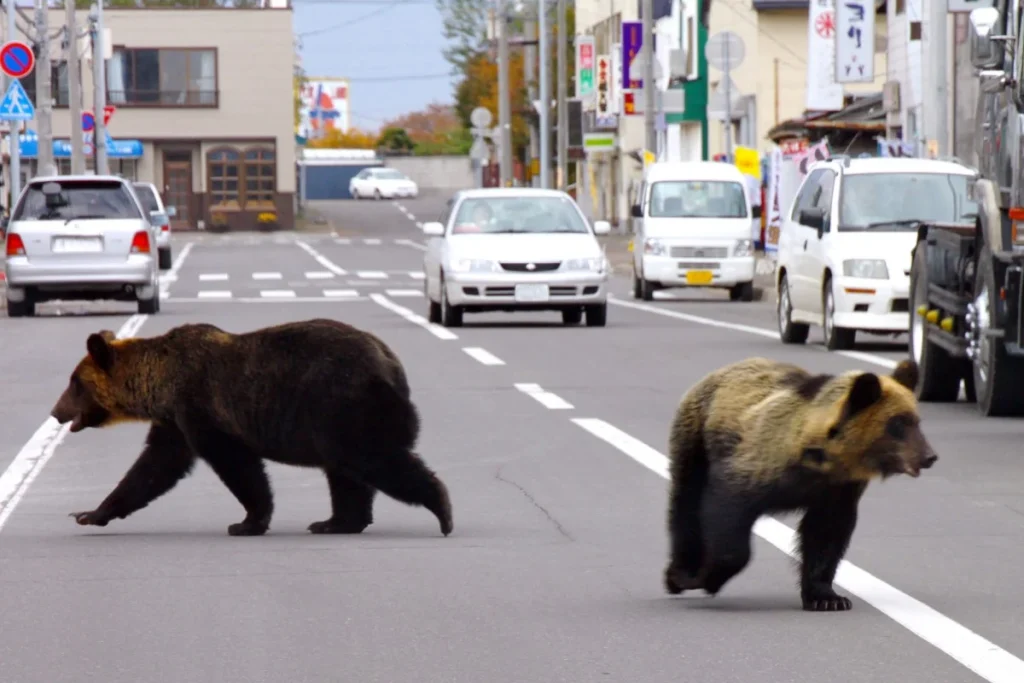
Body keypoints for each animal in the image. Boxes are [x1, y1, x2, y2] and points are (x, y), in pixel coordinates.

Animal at [49, 319, 454, 538]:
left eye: (74, 383)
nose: (55, 412)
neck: (159, 384)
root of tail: (391, 364)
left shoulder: (200, 408)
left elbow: (237, 465)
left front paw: (247, 521)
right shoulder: (174, 422)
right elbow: (153, 468)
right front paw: (89, 513)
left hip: (343, 405)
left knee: (372, 459)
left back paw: (442, 510)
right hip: (337, 419)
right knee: (346, 473)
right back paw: (334, 522)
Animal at [662, 356, 937, 612]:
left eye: (917, 420)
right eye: (898, 423)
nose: (929, 456)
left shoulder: (838, 490)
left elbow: (826, 535)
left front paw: (828, 598)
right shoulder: (756, 465)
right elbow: (726, 511)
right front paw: (706, 578)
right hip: (696, 437)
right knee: (686, 500)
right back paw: (679, 573)